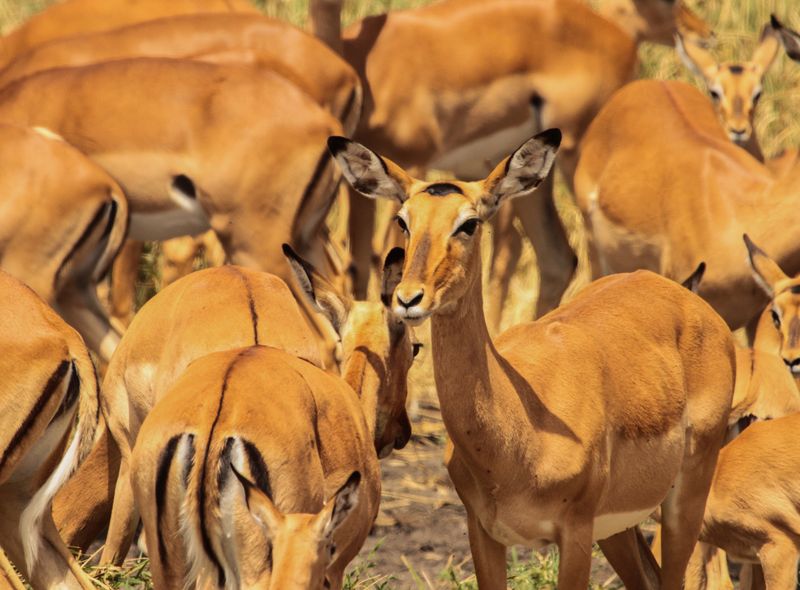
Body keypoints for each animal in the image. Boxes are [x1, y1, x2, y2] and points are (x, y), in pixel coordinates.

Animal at [330, 130, 736, 588]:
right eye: (404, 220)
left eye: (469, 223)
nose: (409, 298)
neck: (517, 430)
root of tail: (691, 302)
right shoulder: (484, 532)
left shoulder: (574, 535)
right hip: (618, 529)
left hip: (685, 501)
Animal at [341, 0, 712, 326]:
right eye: (405, 222)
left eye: (468, 225)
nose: (704, 35)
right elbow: (360, 259)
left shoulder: (416, 162)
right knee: (557, 257)